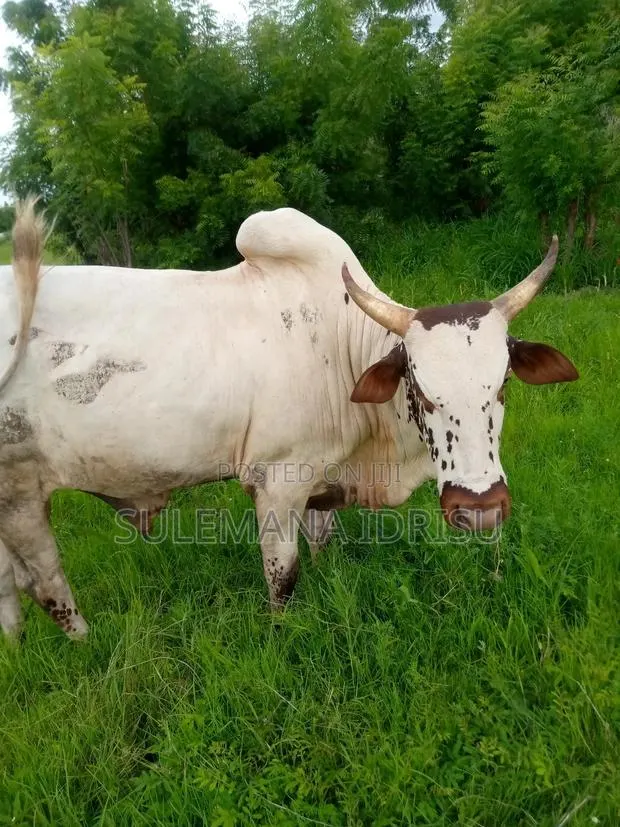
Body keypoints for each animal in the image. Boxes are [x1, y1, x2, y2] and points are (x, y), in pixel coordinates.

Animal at [0, 198, 578, 639]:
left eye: (503, 383)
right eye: (419, 387)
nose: (478, 509)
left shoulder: (321, 478)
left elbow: (321, 545)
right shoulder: (277, 481)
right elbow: (283, 575)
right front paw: (281, 632)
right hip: (20, 495)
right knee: (46, 585)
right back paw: (84, 644)